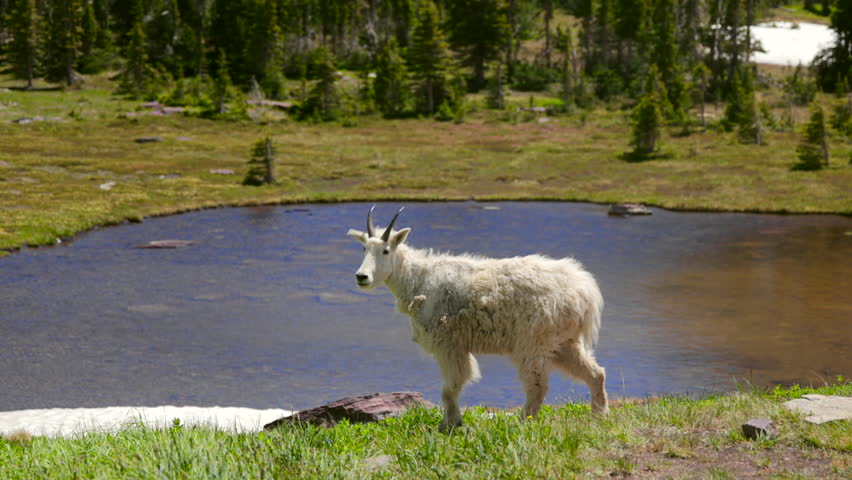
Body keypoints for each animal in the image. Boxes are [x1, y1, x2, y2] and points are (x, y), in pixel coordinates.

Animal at [347, 206, 608, 429]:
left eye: (385, 250)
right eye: (364, 249)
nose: (362, 277)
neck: (418, 280)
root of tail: (585, 293)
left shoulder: (449, 345)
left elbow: (450, 389)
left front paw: (450, 424)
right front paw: (450, 423)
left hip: (534, 341)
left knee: (537, 386)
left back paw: (522, 422)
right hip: (563, 342)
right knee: (596, 373)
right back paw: (598, 416)